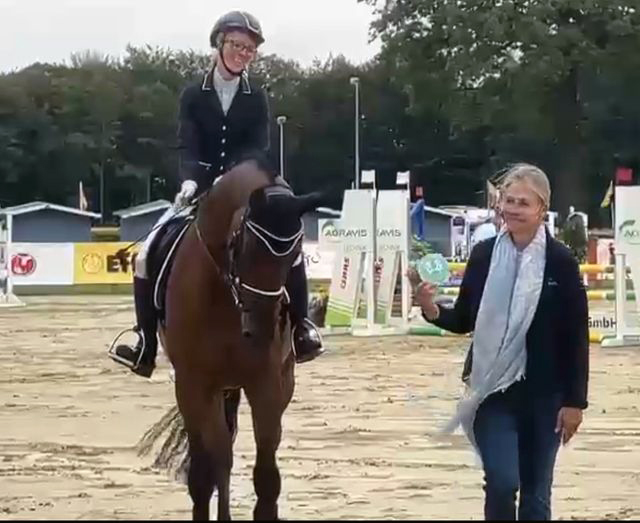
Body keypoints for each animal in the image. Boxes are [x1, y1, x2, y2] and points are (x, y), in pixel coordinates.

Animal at [147, 155, 322, 520]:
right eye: (246, 247)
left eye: (295, 253)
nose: (262, 329)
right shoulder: (193, 385)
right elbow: (206, 472)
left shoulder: (269, 384)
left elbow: (267, 477)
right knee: (218, 458)